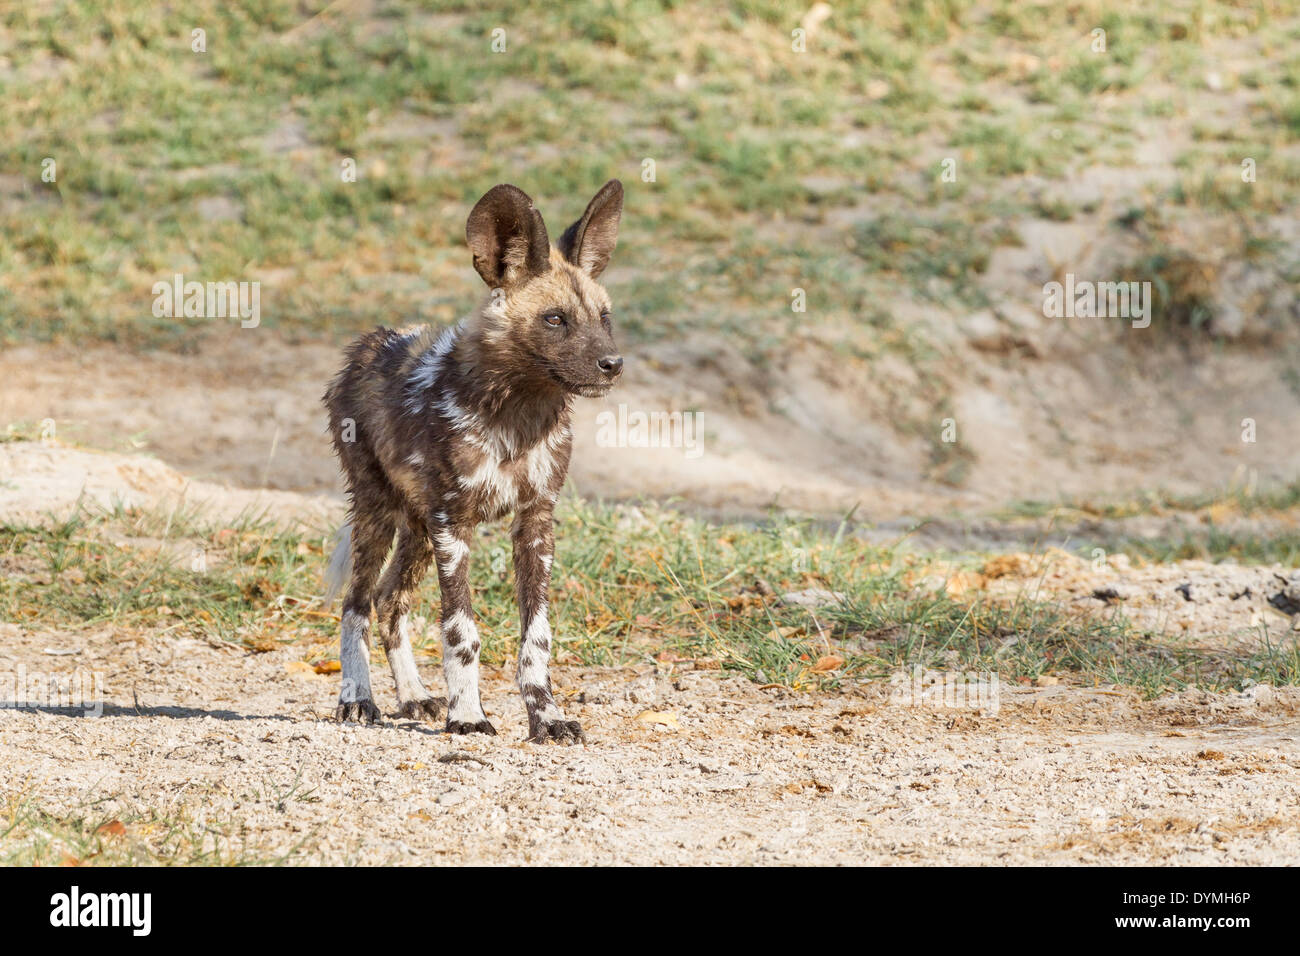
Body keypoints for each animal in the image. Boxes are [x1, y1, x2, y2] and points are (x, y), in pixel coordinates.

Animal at [322, 180, 621, 749]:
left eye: (604, 317)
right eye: (555, 319)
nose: (613, 364)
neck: (518, 414)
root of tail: (365, 345)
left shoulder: (534, 523)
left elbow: (536, 639)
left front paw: (546, 718)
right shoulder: (452, 524)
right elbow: (461, 632)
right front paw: (467, 716)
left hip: (417, 529)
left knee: (391, 601)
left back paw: (413, 696)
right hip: (380, 514)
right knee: (357, 605)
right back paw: (358, 699)